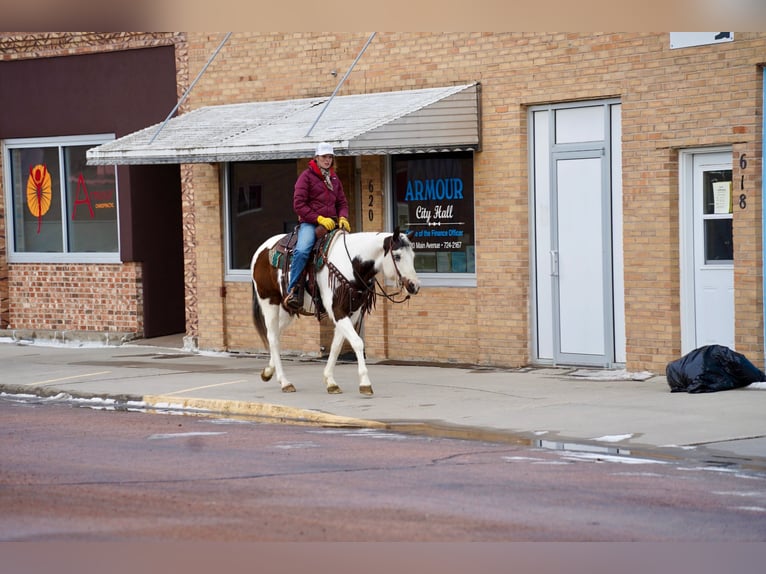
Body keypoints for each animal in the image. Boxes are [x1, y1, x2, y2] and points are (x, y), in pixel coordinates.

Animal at [250, 230, 420, 396]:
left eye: (413, 256)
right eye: (397, 256)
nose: (414, 286)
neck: (351, 265)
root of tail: (261, 249)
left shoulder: (352, 313)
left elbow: (336, 346)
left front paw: (330, 382)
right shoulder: (338, 311)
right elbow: (357, 342)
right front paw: (365, 383)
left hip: (288, 310)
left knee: (276, 334)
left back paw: (268, 371)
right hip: (270, 301)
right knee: (273, 338)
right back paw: (285, 382)